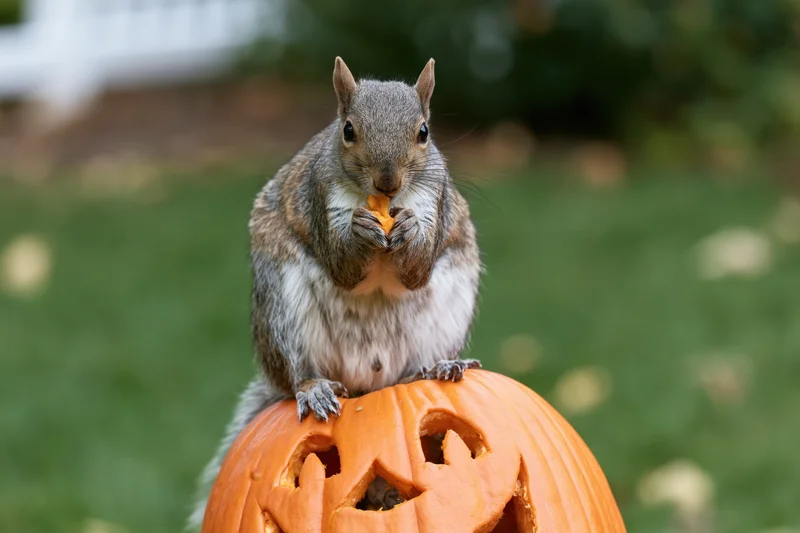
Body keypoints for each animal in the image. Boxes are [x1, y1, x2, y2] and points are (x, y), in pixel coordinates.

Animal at [188, 57, 481, 529]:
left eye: (424, 132)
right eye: (347, 130)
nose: (387, 182)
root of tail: (367, 384)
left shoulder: (433, 203)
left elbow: (416, 271)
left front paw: (410, 232)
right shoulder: (320, 199)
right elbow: (343, 268)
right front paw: (359, 233)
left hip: (451, 304)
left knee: (414, 367)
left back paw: (439, 367)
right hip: (283, 306)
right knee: (295, 371)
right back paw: (313, 388)